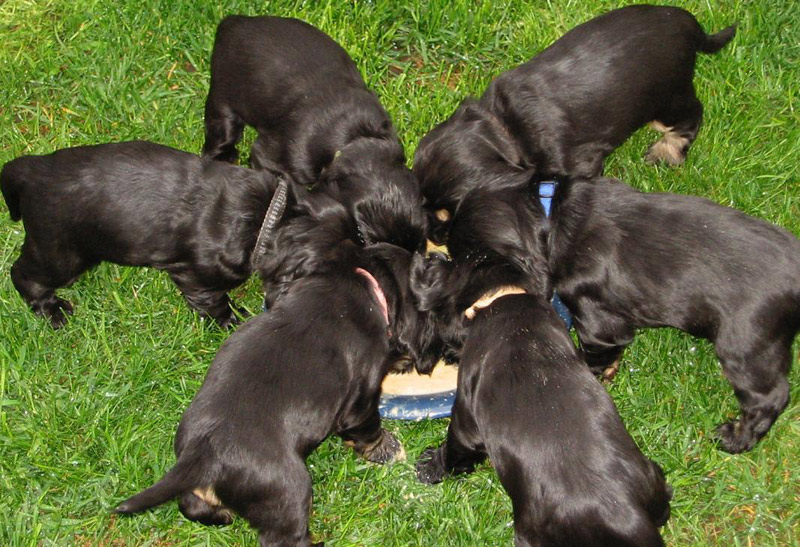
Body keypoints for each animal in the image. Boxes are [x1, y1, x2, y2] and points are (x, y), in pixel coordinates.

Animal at [1, 140, 296, 328]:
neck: (264, 213)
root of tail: (32, 171)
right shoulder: (197, 276)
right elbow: (214, 302)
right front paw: (232, 320)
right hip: (59, 253)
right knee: (22, 273)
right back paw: (53, 311)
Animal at [116, 205, 440, 546]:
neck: (360, 283)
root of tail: (203, 455)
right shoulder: (360, 402)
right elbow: (368, 431)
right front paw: (388, 449)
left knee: (192, 504)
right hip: (289, 490)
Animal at [410, 253, 672, 546]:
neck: (503, 295)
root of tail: (631, 519)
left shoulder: (466, 414)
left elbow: (456, 449)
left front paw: (430, 466)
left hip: (532, 533)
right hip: (652, 479)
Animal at [414, 4, 736, 242]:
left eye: (450, 215)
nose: (432, 236)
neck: (504, 127)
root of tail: (689, 23)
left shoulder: (578, 163)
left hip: (669, 99)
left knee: (691, 115)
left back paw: (667, 152)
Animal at [441, 177, 800, 453]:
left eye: (475, 257)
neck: (551, 214)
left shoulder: (596, 318)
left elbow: (593, 353)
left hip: (746, 345)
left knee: (770, 397)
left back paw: (735, 439)